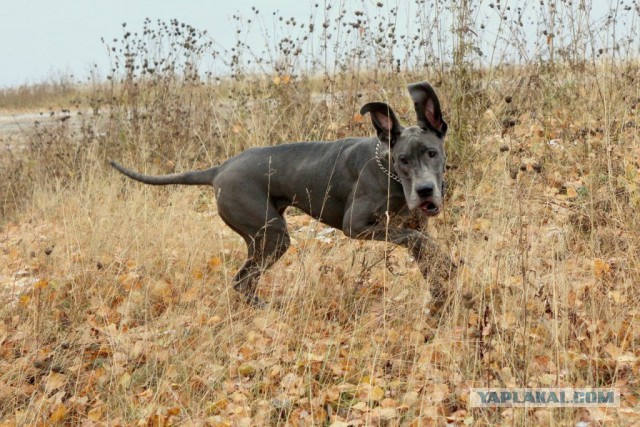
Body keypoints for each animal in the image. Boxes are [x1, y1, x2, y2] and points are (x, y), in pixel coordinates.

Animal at [110, 80, 456, 308]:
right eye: (403, 160)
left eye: (431, 153)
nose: (425, 190)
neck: (389, 171)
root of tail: (220, 169)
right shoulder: (356, 225)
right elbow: (416, 241)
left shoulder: (413, 224)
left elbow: (424, 251)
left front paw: (441, 292)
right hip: (272, 234)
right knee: (243, 279)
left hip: (262, 236)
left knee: (245, 279)